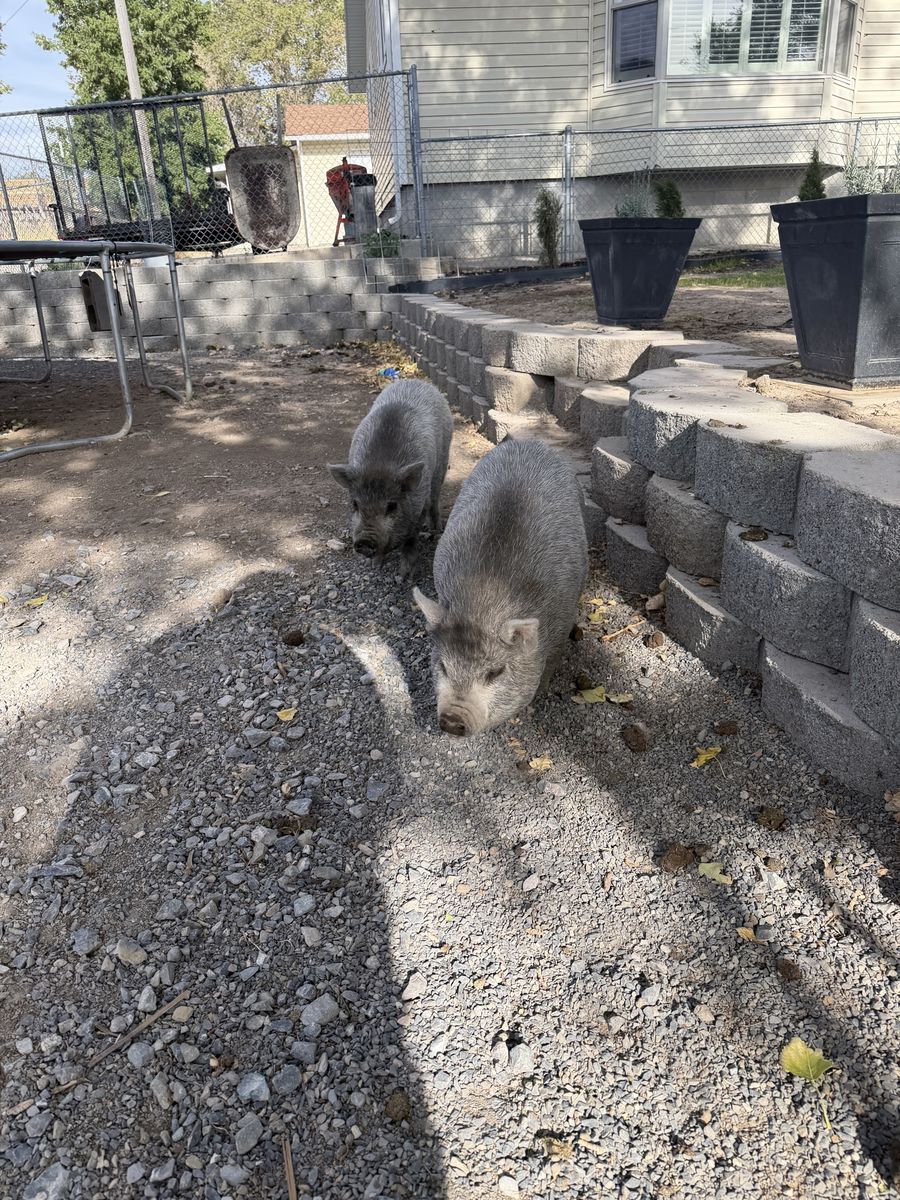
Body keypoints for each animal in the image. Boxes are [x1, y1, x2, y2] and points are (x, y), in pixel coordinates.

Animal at [328, 379, 454, 576]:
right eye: (355, 504)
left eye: (392, 506)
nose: (364, 541)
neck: (379, 465)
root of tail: (417, 381)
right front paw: (374, 566)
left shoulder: (420, 504)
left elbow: (411, 540)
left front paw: (405, 576)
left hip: (443, 459)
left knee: (435, 498)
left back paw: (435, 529)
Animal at [414, 437, 588, 736]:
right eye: (443, 667)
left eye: (495, 673)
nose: (452, 720)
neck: (485, 599)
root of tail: (528, 441)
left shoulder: (562, 624)